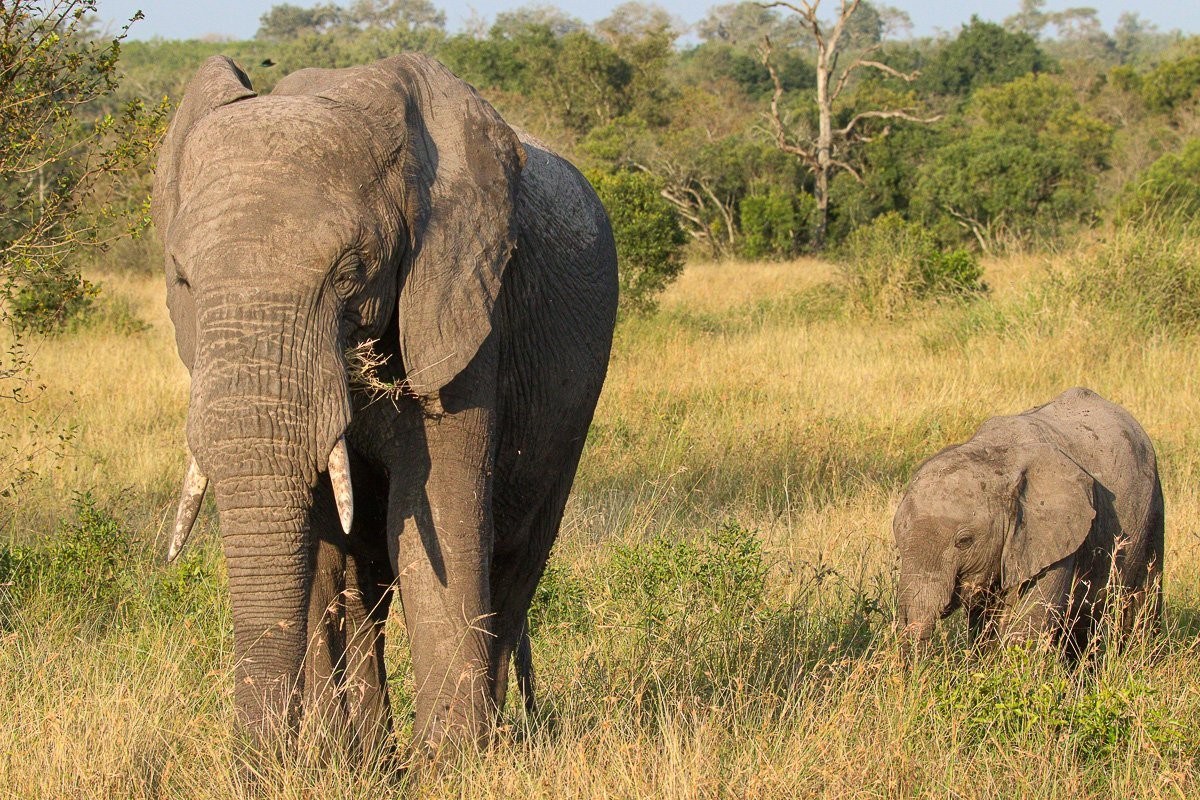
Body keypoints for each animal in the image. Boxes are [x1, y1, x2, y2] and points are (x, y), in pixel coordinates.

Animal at [152, 54, 618, 758]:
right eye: (182, 279)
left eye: (350, 272)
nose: (253, 766)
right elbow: (322, 546)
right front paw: (329, 766)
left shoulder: (462, 314)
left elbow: (440, 522)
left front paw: (454, 767)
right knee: (363, 576)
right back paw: (372, 756)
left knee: (516, 560)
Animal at [893, 387, 1163, 657]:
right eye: (898, 540)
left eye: (964, 541)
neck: (995, 454)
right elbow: (985, 623)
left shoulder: (1051, 535)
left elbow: (1027, 626)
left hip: (1152, 508)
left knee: (1142, 597)